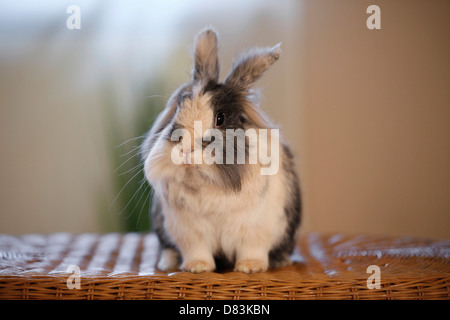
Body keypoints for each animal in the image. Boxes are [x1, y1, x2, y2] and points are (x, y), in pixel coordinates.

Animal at [141, 28, 302, 272]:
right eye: (178, 110)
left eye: (220, 118)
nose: (186, 150)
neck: (210, 182)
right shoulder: (189, 233)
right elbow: (197, 251)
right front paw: (197, 268)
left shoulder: (256, 229)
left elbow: (252, 249)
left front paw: (249, 268)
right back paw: (167, 263)